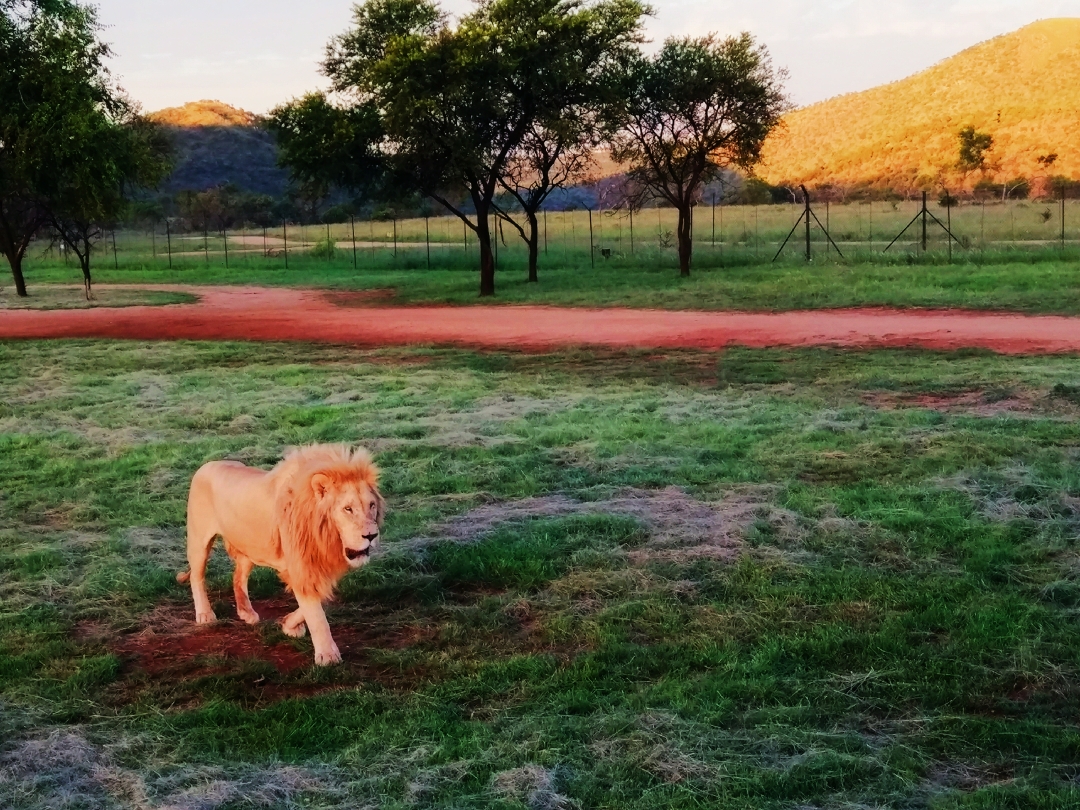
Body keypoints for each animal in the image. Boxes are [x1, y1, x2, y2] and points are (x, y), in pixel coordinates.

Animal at [174, 444, 382, 665]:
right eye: (347, 509)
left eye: (371, 505)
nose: (371, 535)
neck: (327, 536)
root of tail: (206, 465)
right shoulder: (301, 565)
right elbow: (316, 614)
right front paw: (327, 655)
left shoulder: (319, 566)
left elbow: (319, 600)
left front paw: (289, 625)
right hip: (199, 541)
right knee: (197, 577)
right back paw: (205, 614)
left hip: (250, 545)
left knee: (238, 576)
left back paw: (246, 612)